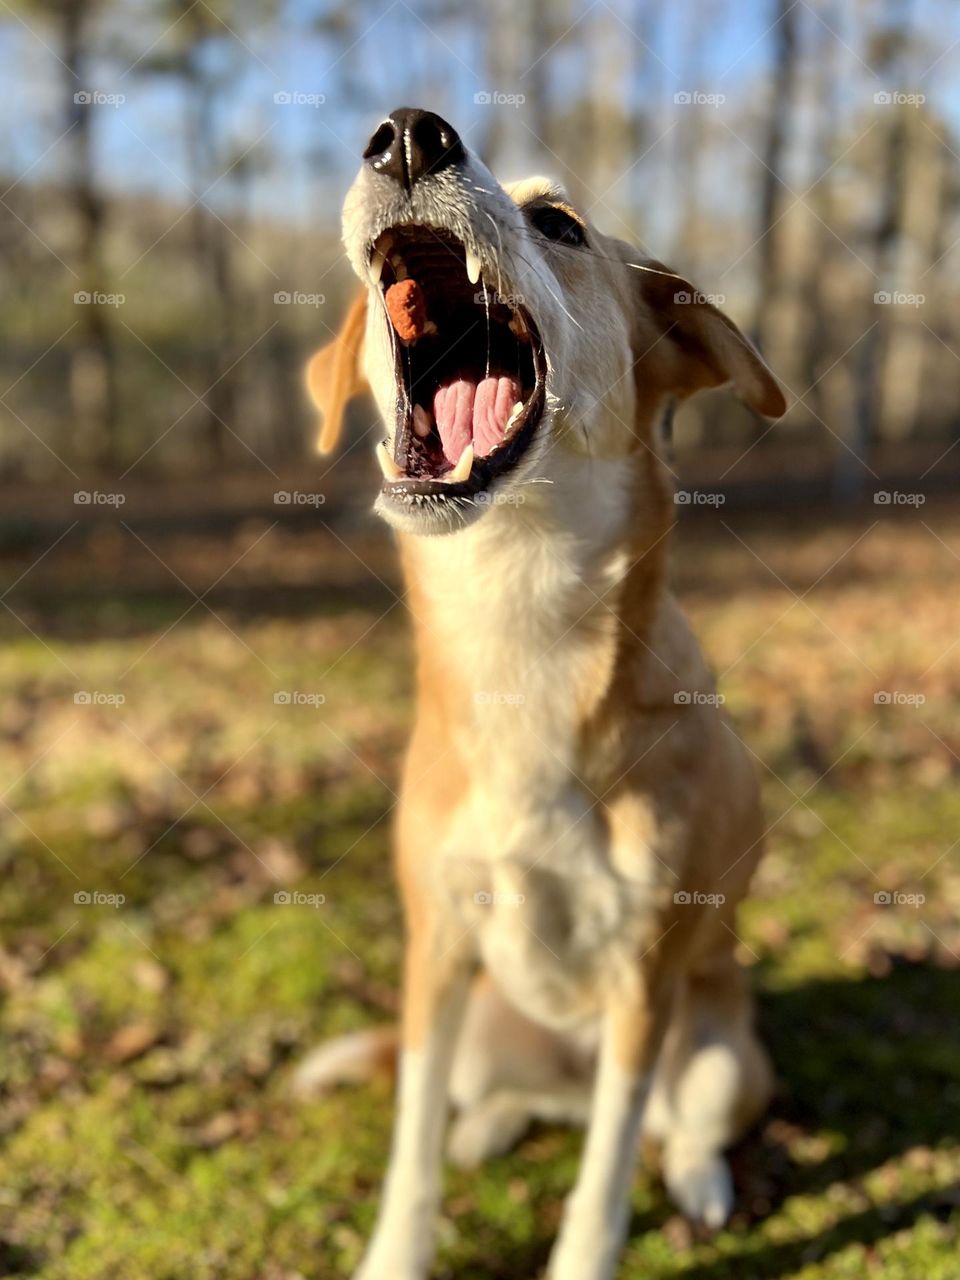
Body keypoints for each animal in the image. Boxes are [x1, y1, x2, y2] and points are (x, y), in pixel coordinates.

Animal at [305, 107, 788, 1280]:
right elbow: (411, 1142)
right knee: (500, 1104)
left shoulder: (646, 976)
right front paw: (398, 1250)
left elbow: (609, 1164)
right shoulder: (436, 946)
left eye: (561, 224)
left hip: (722, 1050)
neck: (516, 612)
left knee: (668, 1124)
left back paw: (701, 1179)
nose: (409, 134)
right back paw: (487, 1127)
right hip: (488, 1023)